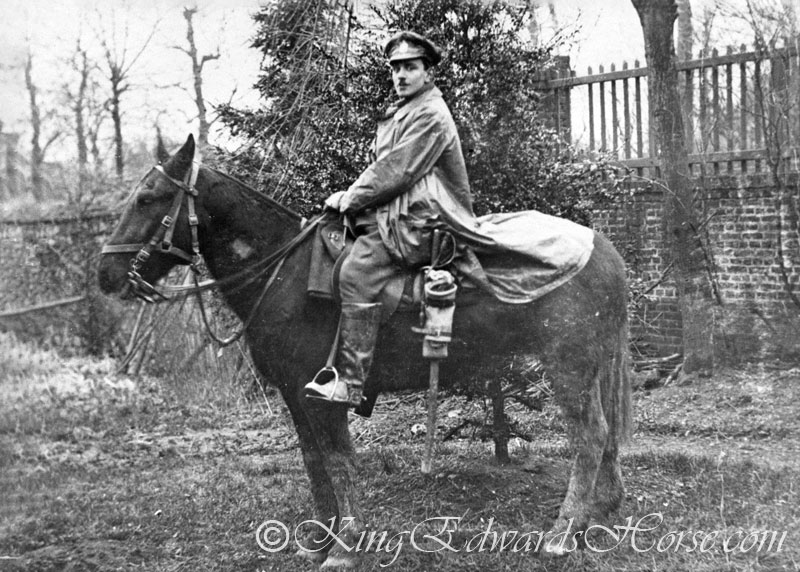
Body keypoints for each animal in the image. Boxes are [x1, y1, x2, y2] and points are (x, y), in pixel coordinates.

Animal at [97, 135, 632, 568]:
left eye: (148, 197)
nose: (105, 274)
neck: (285, 272)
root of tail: (604, 248)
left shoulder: (322, 393)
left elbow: (338, 461)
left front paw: (345, 545)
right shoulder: (295, 394)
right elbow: (314, 462)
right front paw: (317, 540)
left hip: (569, 368)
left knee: (590, 436)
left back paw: (562, 534)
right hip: (593, 368)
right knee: (604, 434)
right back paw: (599, 513)